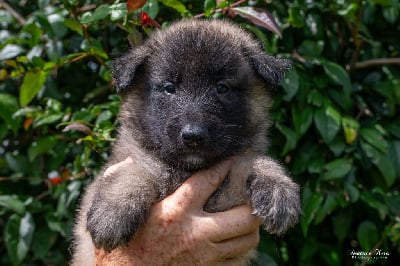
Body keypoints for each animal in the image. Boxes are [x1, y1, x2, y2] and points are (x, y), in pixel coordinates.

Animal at [72, 18, 302, 264]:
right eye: (169, 88)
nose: (193, 136)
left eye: (222, 88)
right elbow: (136, 170)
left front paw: (279, 191)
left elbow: (254, 161)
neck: (187, 171)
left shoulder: (231, 193)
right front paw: (112, 212)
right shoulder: (133, 158)